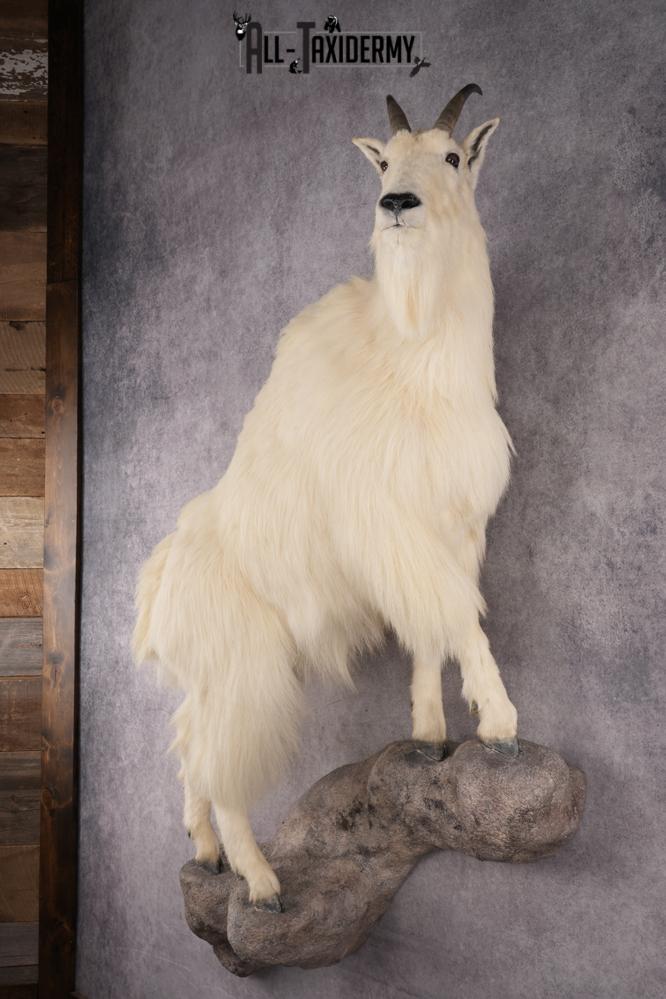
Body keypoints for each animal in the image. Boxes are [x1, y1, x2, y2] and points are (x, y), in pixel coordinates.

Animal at [133, 86, 519, 911]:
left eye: (452, 156)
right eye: (385, 161)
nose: (396, 203)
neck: (412, 350)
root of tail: (158, 596)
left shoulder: (449, 527)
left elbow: (433, 629)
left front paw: (430, 734)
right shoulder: (396, 527)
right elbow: (459, 619)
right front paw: (500, 724)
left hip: (211, 679)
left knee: (188, 749)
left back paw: (206, 852)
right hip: (245, 674)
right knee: (224, 772)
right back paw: (261, 883)